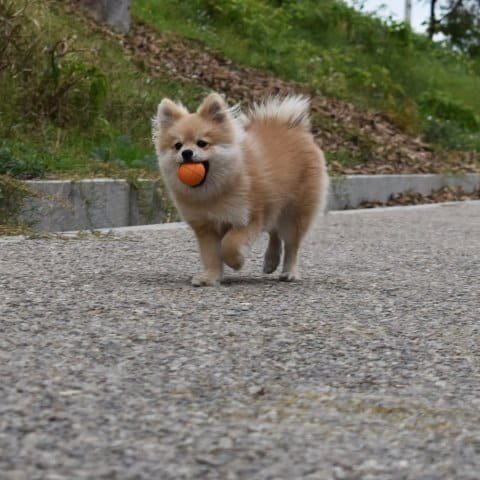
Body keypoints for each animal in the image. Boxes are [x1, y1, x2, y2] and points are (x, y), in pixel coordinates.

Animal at [152, 93, 328, 286]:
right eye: (178, 145)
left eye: (202, 143)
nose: (186, 153)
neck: (214, 189)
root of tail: (291, 124)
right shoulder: (205, 227)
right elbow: (211, 256)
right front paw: (210, 277)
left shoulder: (247, 218)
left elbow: (229, 245)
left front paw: (236, 262)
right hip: (273, 205)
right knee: (274, 231)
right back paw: (270, 261)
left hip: (294, 213)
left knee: (291, 245)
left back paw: (289, 272)